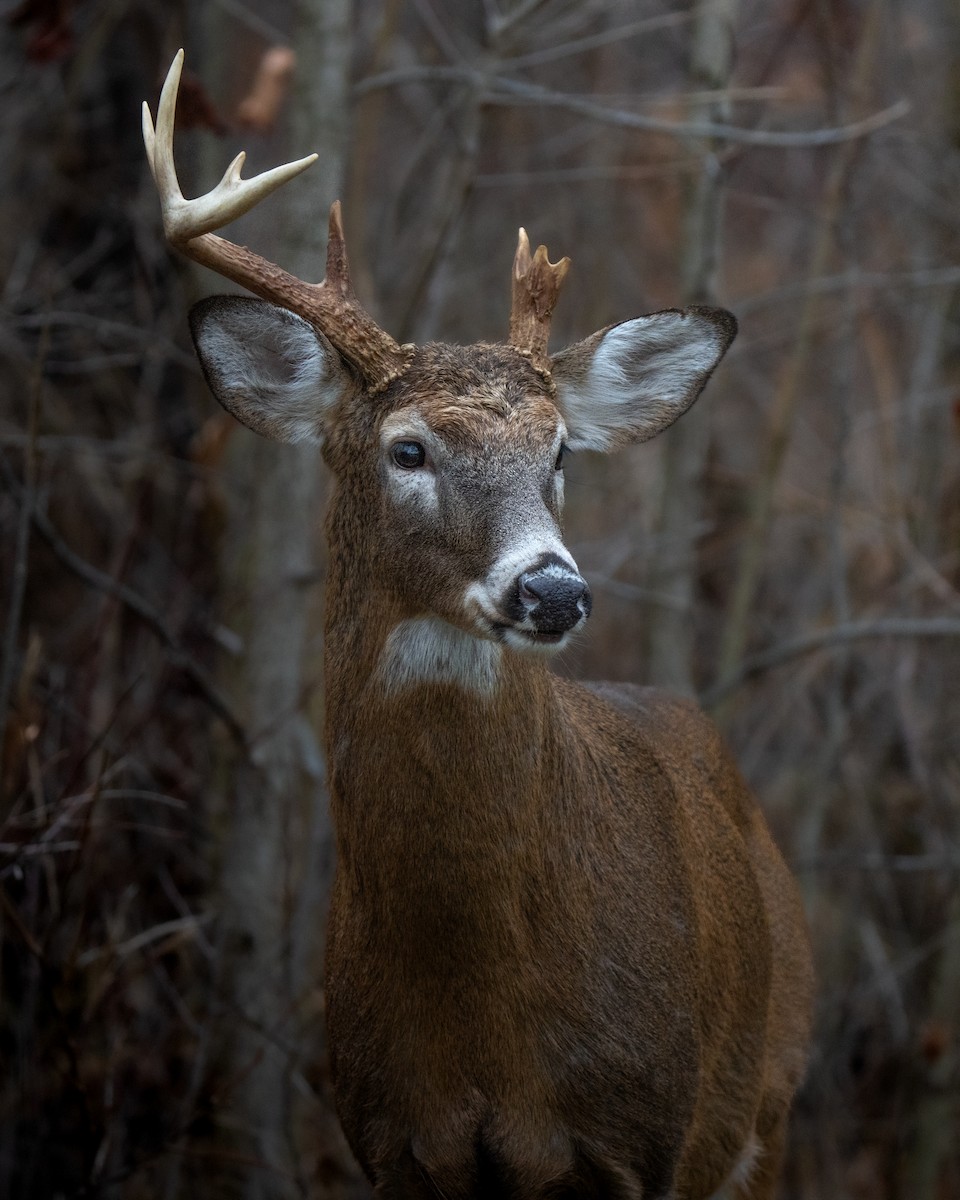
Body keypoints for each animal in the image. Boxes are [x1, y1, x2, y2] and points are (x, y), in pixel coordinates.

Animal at [144, 51, 813, 1200]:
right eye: (408, 449)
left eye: (562, 452)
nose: (553, 592)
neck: (481, 1011)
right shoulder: (390, 1139)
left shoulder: (637, 1139)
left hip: (766, 1105)